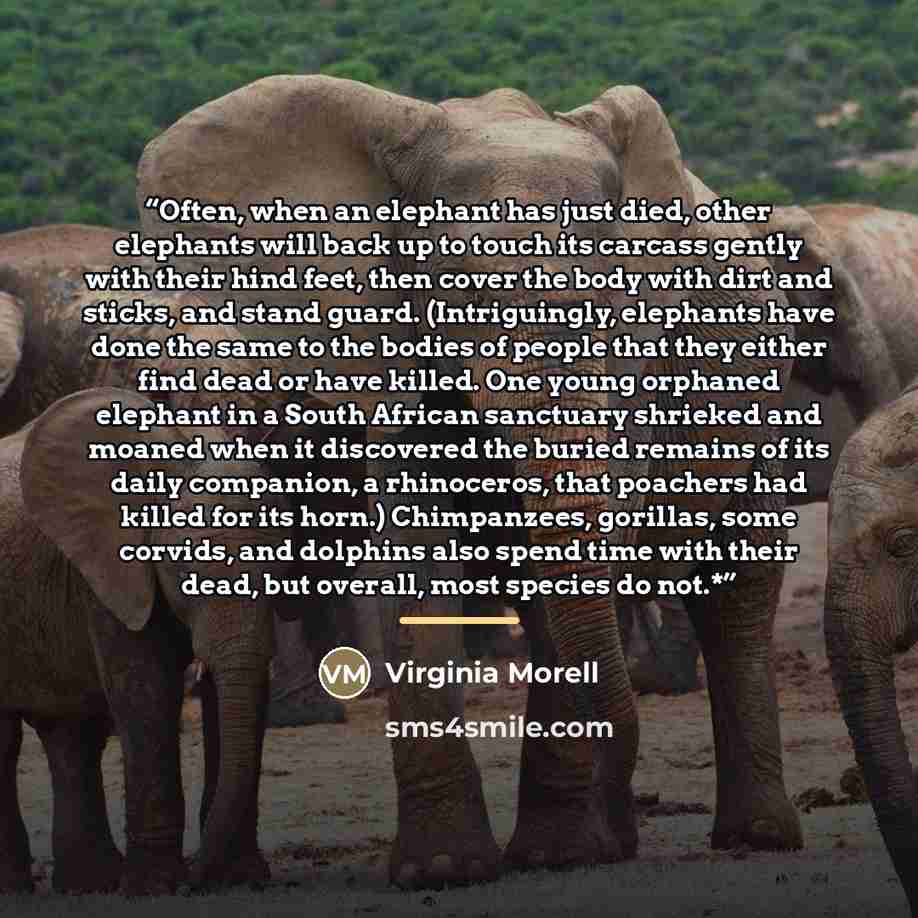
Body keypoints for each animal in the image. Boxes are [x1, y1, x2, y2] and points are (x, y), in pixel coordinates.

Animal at [1, 386, 300, 893]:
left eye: (280, 566)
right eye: (183, 568)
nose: (196, 877)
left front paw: (238, 877)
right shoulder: (106, 572)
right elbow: (147, 690)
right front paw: (156, 886)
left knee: (71, 733)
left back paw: (90, 884)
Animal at [137, 74, 805, 887]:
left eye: (615, 297)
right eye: (462, 292)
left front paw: (545, 854)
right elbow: (423, 554)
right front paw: (447, 868)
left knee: (735, 589)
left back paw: (747, 837)